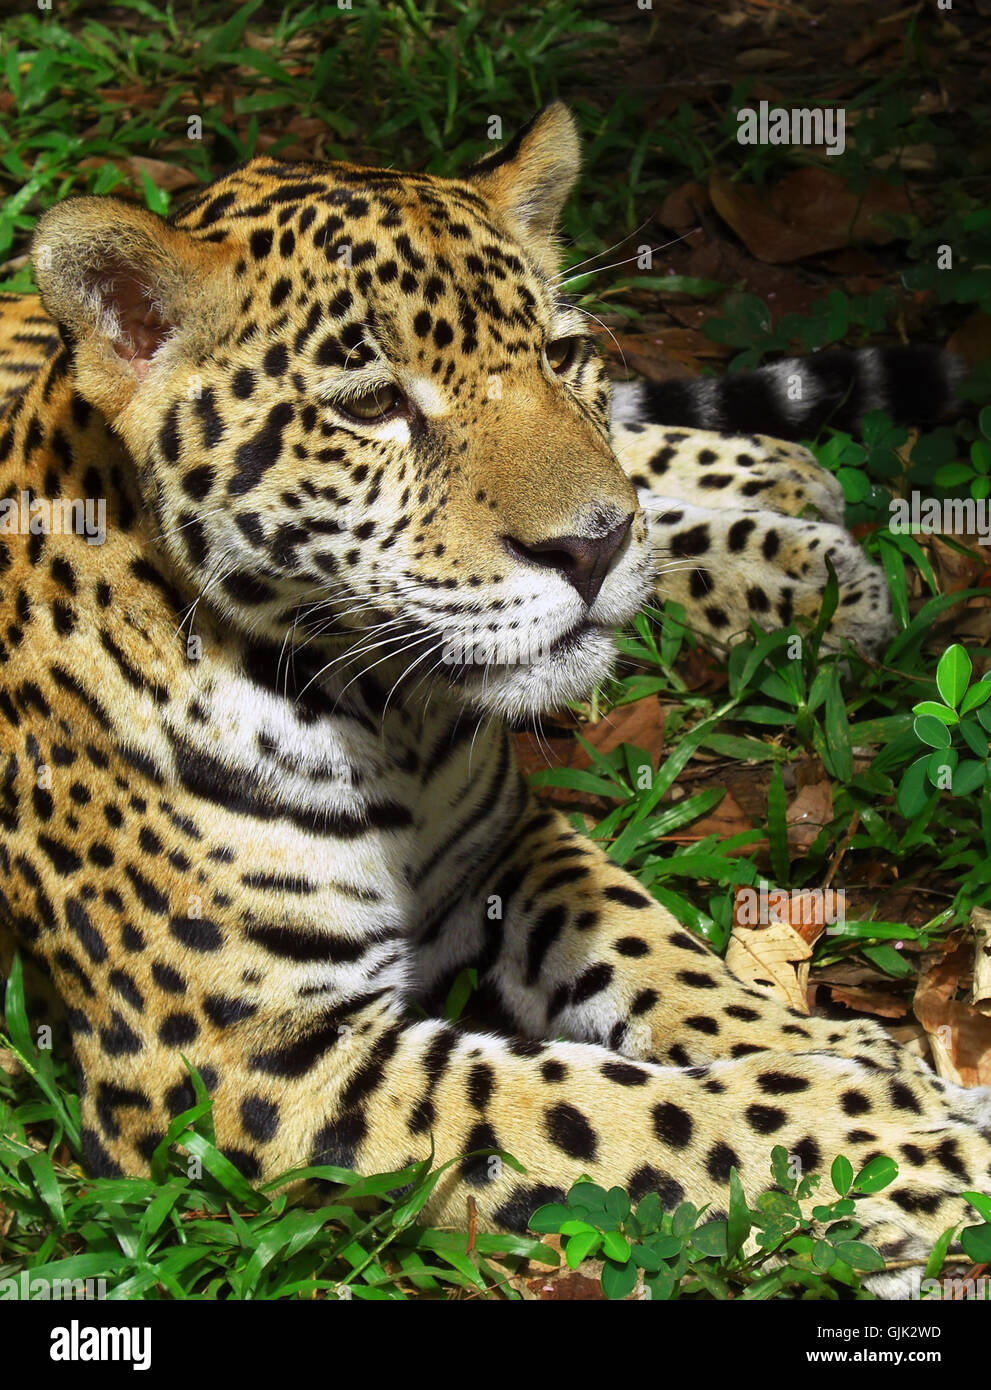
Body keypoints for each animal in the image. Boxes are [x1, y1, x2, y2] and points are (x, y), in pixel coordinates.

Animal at [0, 102, 987, 1298]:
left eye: (560, 356)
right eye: (373, 406)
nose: (594, 544)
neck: (387, 720)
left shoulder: (512, 838)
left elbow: (654, 948)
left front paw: (842, 1049)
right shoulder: (243, 1064)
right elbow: (604, 1109)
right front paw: (894, 1143)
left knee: (645, 450)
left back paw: (782, 510)